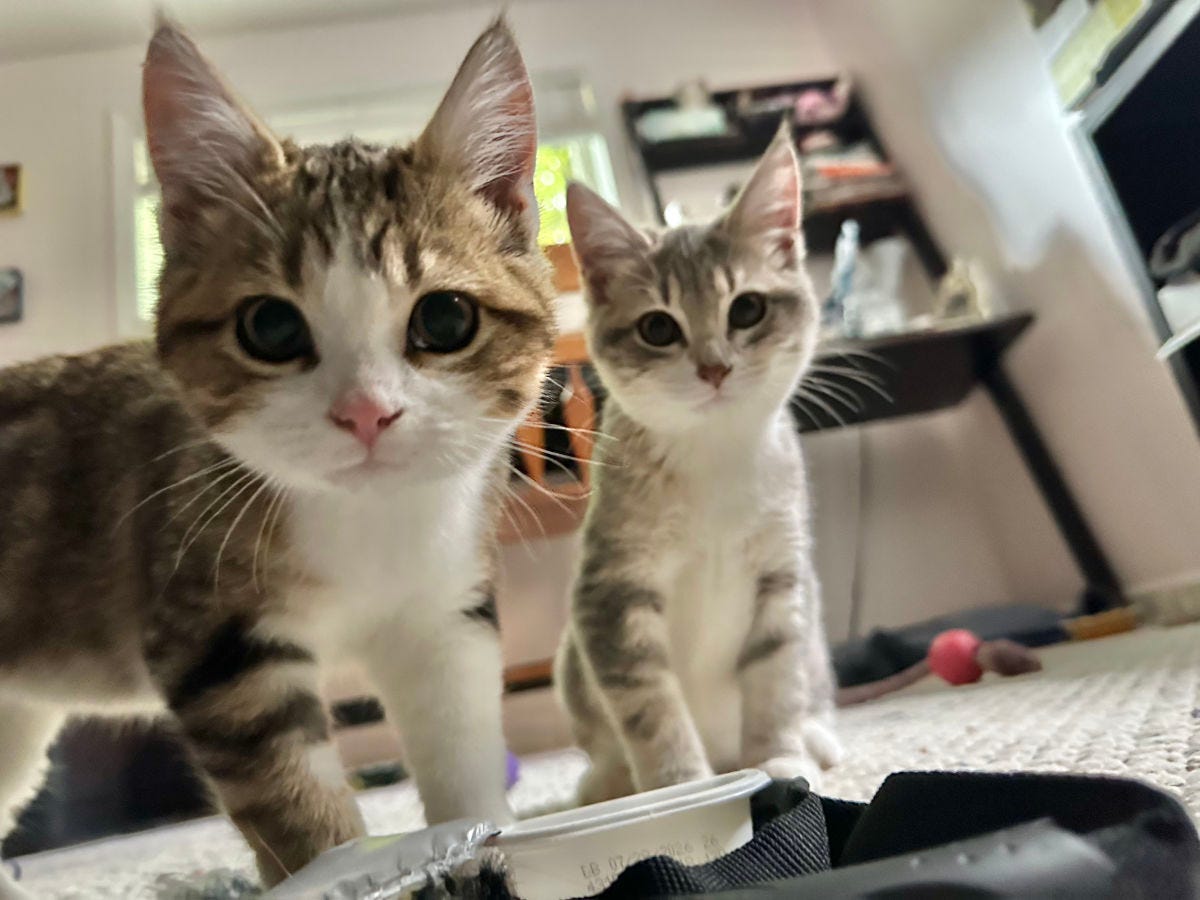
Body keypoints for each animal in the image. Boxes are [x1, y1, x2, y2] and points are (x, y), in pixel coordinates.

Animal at [0, 17, 552, 892]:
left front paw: (490, 855)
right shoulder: (212, 629)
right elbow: (297, 798)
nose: (366, 412)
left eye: (446, 319)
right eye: (270, 327)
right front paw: (348, 865)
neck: (368, 525)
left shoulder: (445, 610)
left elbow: (462, 746)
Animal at [556, 125, 840, 801]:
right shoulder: (609, 593)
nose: (714, 367)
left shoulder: (782, 575)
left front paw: (780, 757)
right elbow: (648, 704)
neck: (714, 457)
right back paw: (605, 782)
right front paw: (678, 783)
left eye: (747, 309)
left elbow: (776, 676)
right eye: (658, 328)